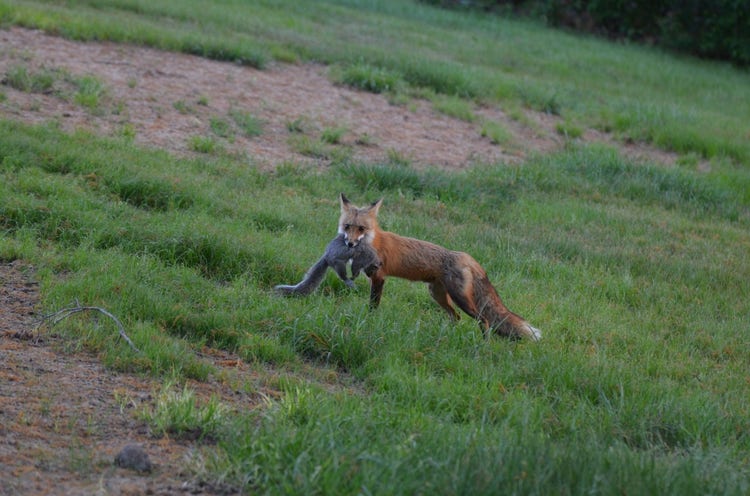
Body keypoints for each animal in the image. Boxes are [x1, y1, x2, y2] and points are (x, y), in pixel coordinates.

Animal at [338, 193, 541, 340]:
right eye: (347, 226)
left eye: (361, 228)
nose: (350, 243)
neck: (373, 240)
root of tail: (466, 256)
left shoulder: (379, 277)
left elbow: (373, 306)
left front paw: (369, 321)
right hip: (437, 295)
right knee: (456, 317)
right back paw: (447, 336)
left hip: (460, 298)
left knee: (483, 320)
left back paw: (483, 344)